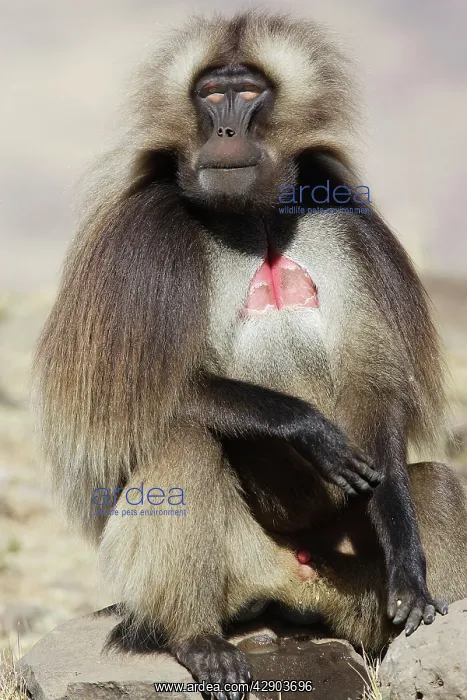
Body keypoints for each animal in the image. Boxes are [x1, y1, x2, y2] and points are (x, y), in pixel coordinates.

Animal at [33, 11, 467, 698]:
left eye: (248, 92)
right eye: (211, 95)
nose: (227, 130)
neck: (254, 217)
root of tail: (293, 581)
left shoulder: (342, 223)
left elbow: (374, 387)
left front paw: (405, 558)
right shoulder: (144, 242)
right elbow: (139, 399)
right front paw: (307, 428)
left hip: (344, 576)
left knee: (440, 485)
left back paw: (406, 639)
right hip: (232, 567)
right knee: (183, 442)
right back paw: (198, 641)